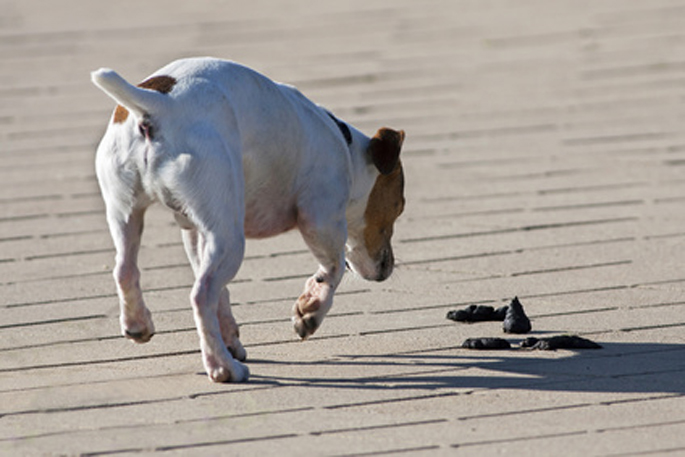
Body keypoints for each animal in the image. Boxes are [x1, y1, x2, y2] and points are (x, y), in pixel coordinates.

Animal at [88, 56, 404, 382]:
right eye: (399, 207)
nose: (387, 268)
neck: (345, 148)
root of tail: (158, 103)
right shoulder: (321, 220)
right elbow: (333, 270)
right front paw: (310, 310)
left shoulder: (195, 230)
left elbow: (222, 294)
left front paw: (231, 337)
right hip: (230, 237)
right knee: (201, 295)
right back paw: (222, 367)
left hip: (129, 213)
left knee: (126, 270)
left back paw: (139, 324)